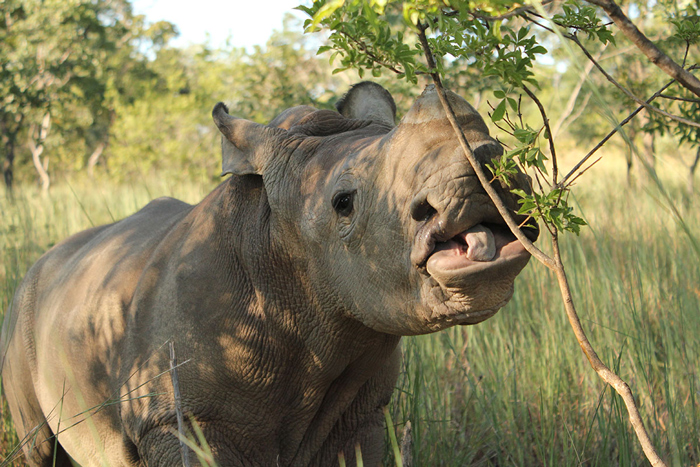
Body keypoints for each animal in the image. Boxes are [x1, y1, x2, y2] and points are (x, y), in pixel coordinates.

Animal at [0, 82, 536, 466]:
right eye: (343, 203)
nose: (480, 187)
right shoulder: (179, 420)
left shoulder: (360, 411)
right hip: (22, 313)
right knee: (37, 448)